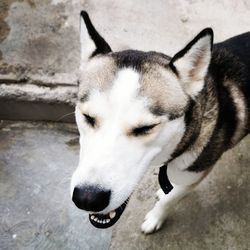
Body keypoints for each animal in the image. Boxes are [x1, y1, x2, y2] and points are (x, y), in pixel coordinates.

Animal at [70, 11, 250, 234]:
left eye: (145, 128)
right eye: (88, 117)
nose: (87, 198)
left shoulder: (195, 175)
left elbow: (170, 200)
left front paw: (156, 217)